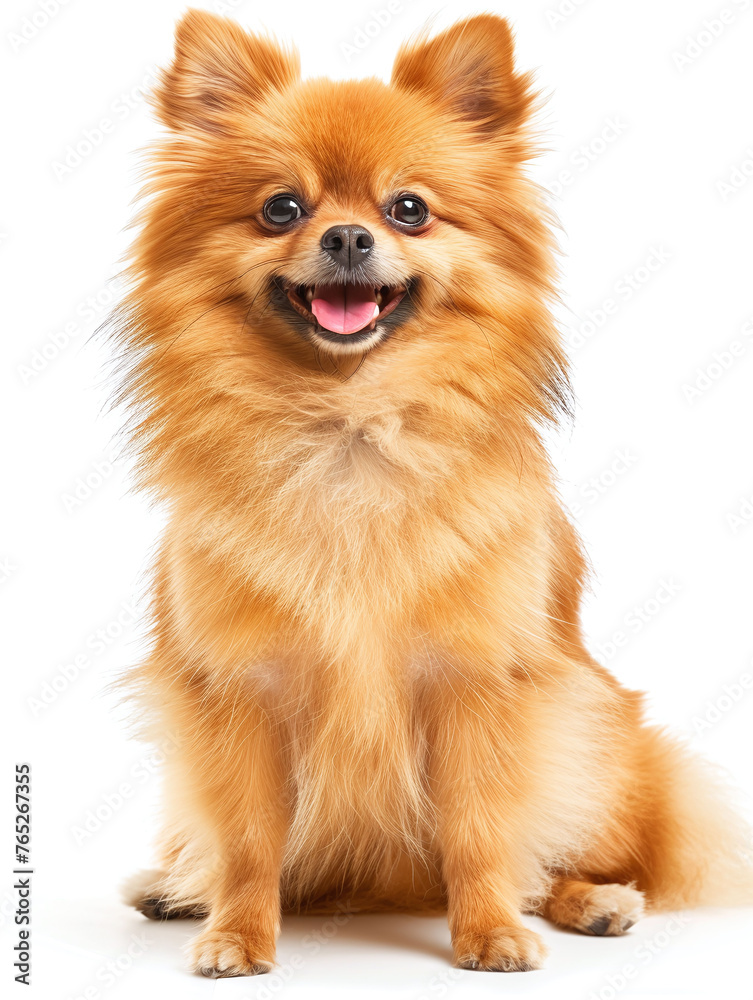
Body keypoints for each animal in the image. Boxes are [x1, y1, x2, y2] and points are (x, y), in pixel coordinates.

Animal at [114, 7, 748, 976]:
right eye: (281, 207)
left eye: (407, 209)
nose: (346, 237)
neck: (347, 426)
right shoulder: (243, 695)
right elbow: (248, 842)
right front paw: (235, 933)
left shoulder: (473, 685)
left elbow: (482, 831)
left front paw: (488, 932)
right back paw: (180, 886)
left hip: (593, 739)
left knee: (565, 854)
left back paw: (587, 901)